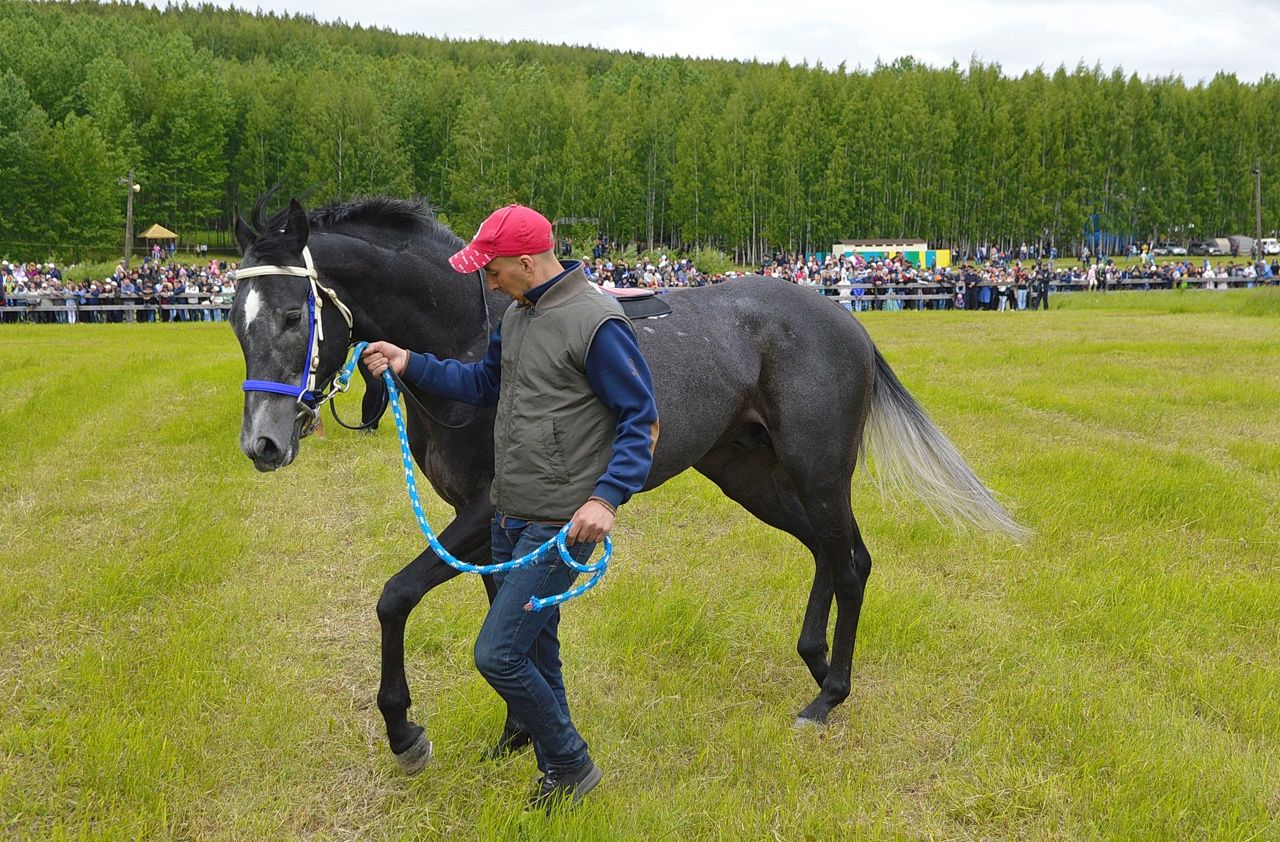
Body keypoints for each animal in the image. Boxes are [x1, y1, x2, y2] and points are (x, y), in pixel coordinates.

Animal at [230, 193, 1024, 772]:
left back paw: (827, 697)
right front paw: (518, 736)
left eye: (294, 314)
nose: (263, 443)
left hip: (818, 471)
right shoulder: (497, 527)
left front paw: (405, 730)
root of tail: (841, 316)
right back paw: (815, 659)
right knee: (827, 553)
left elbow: (395, 598)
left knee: (852, 560)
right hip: (753, 476)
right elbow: (509, 626)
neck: (470, 335)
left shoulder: (485, 512)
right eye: (236, 322)